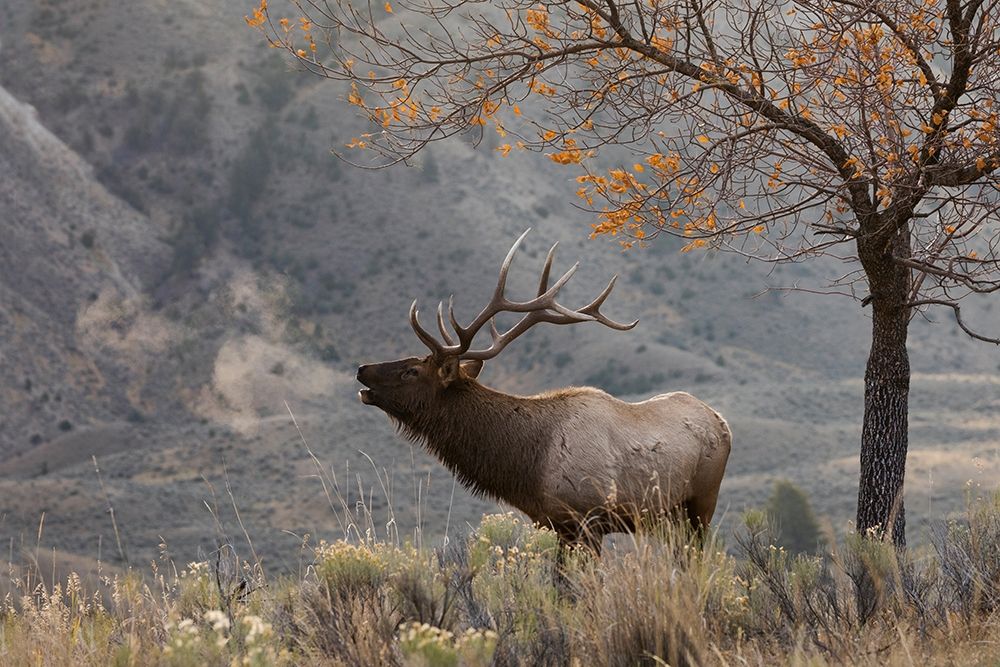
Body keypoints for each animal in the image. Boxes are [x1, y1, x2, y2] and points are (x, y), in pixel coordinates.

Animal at [356, 230, 731, 554]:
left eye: (411, 370)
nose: (362, 370)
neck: (527, 466)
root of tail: (722, 422)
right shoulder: (556, 524)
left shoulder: (588, 519)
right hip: (670, 519)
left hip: (702, 503)